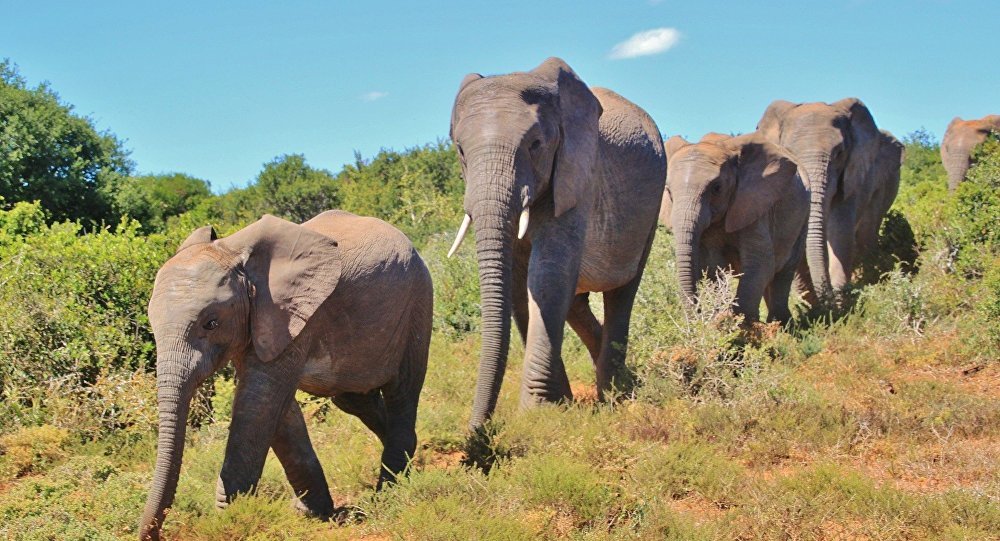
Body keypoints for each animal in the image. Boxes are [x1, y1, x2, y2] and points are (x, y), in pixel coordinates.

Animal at [139, 209, 432, 536]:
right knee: (356, 400)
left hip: (418, 300)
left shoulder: (293, 314)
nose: (150, 536)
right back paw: (412, 462)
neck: (234, 252)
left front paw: (232, 521)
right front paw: (312, 512)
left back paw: (388, 493)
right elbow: (277, 411)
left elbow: (259, 403)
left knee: (402, 390)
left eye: (211, 323)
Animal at [446, 53, 664, 426]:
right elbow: (519, 284)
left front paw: (538, 412)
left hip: (652, 201)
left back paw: (615, 393)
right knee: (576, 300)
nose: (477, 431)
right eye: (460, 150)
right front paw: (559, 404)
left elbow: (547, 275)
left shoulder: (576, 175)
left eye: (535, 145)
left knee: (622, 292)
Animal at [660, 133, 808, 322]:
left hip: (803, 218)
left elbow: (760, 263)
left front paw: (742, 325)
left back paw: (781, 323)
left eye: (717, 188)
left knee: (783, 273)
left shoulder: (753, 203)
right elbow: (711, 267)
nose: (697, 315)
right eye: (669, 192)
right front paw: (719, 320)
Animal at [756, 98, 900, 300]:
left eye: (839, 153)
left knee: (867, 231)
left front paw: (840, 299)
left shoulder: (851, 174)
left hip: (886, 181)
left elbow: (840, 230)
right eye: (789, 154)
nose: (827, 296)